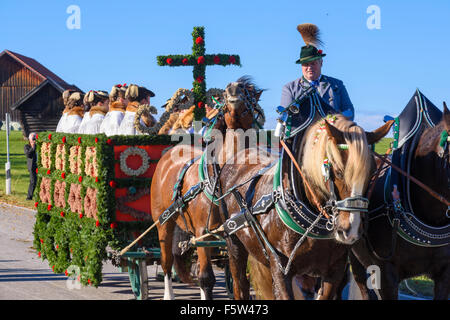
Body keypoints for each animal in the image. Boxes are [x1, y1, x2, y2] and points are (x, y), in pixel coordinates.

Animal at [151, 77, 264, 300]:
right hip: (163, 223)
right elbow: (206, 279)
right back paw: (168, 293)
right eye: (224, 96)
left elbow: (241, 278)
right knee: (166, 262)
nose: (233, 88)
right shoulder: (203, 233)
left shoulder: (234, 233)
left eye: (250, 95)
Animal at [220, 110, 392, 300]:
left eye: (372, 173)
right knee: (240, 284)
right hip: (234, 244)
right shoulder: (280, 269)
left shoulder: (334, 271)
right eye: (339, 171)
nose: (351, 231)